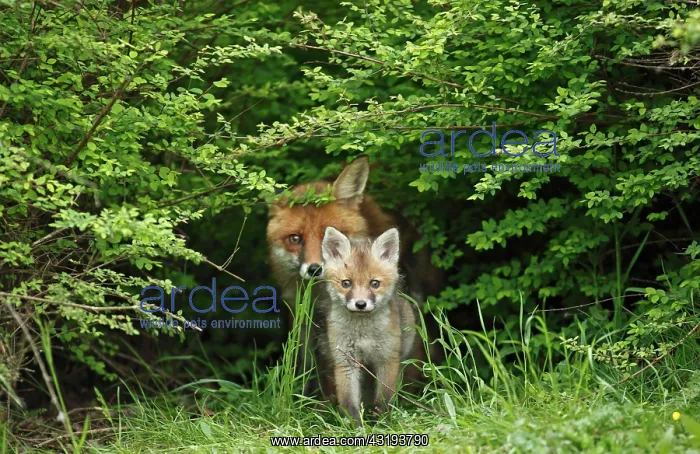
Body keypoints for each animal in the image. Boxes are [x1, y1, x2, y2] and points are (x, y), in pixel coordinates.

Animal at [316, 226, 424, 426]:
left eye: (374, 283)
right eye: (346, 283)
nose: (360, 304)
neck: (363, 335)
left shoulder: (387, 359)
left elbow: (384, 400)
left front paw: (382, 422)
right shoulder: (346, 361)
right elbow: (349, 402)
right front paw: (355, 427)